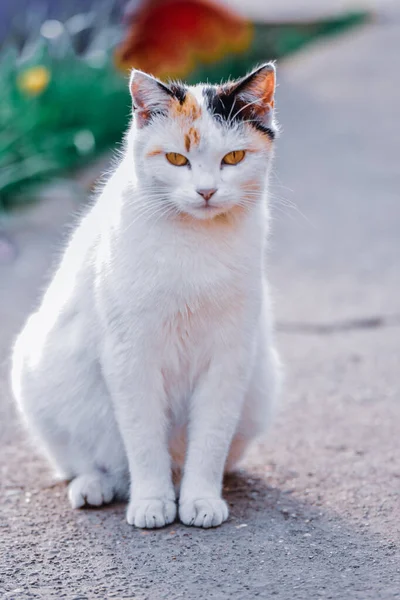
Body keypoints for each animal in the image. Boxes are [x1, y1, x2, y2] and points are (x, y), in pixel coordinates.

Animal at [11, 63, 282, 528]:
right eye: (176, 159)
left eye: (233, 158)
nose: (206, 192)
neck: (194, 244)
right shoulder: (129, 356)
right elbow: (142, 438)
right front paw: (152, 502)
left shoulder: (229, 357)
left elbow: (210, 438)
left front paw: (200, 499)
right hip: (35, 376)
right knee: (88, 461)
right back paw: (97, 486)